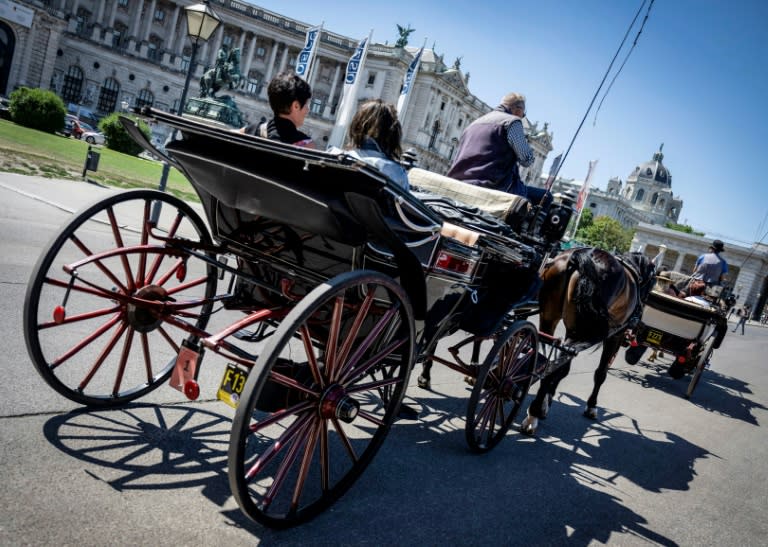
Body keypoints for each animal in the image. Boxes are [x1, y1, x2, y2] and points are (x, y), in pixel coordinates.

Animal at [520, 248, 656, 436]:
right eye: (653, 284)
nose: (639, 316)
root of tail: (581, 255)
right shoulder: (616, 335)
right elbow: (600, 373)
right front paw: (591, 406)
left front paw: (549, 399)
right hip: (578, 331)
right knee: (555, 365)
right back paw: (534, 413)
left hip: (549, 317)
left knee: (549, 360)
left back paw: (536, 409)